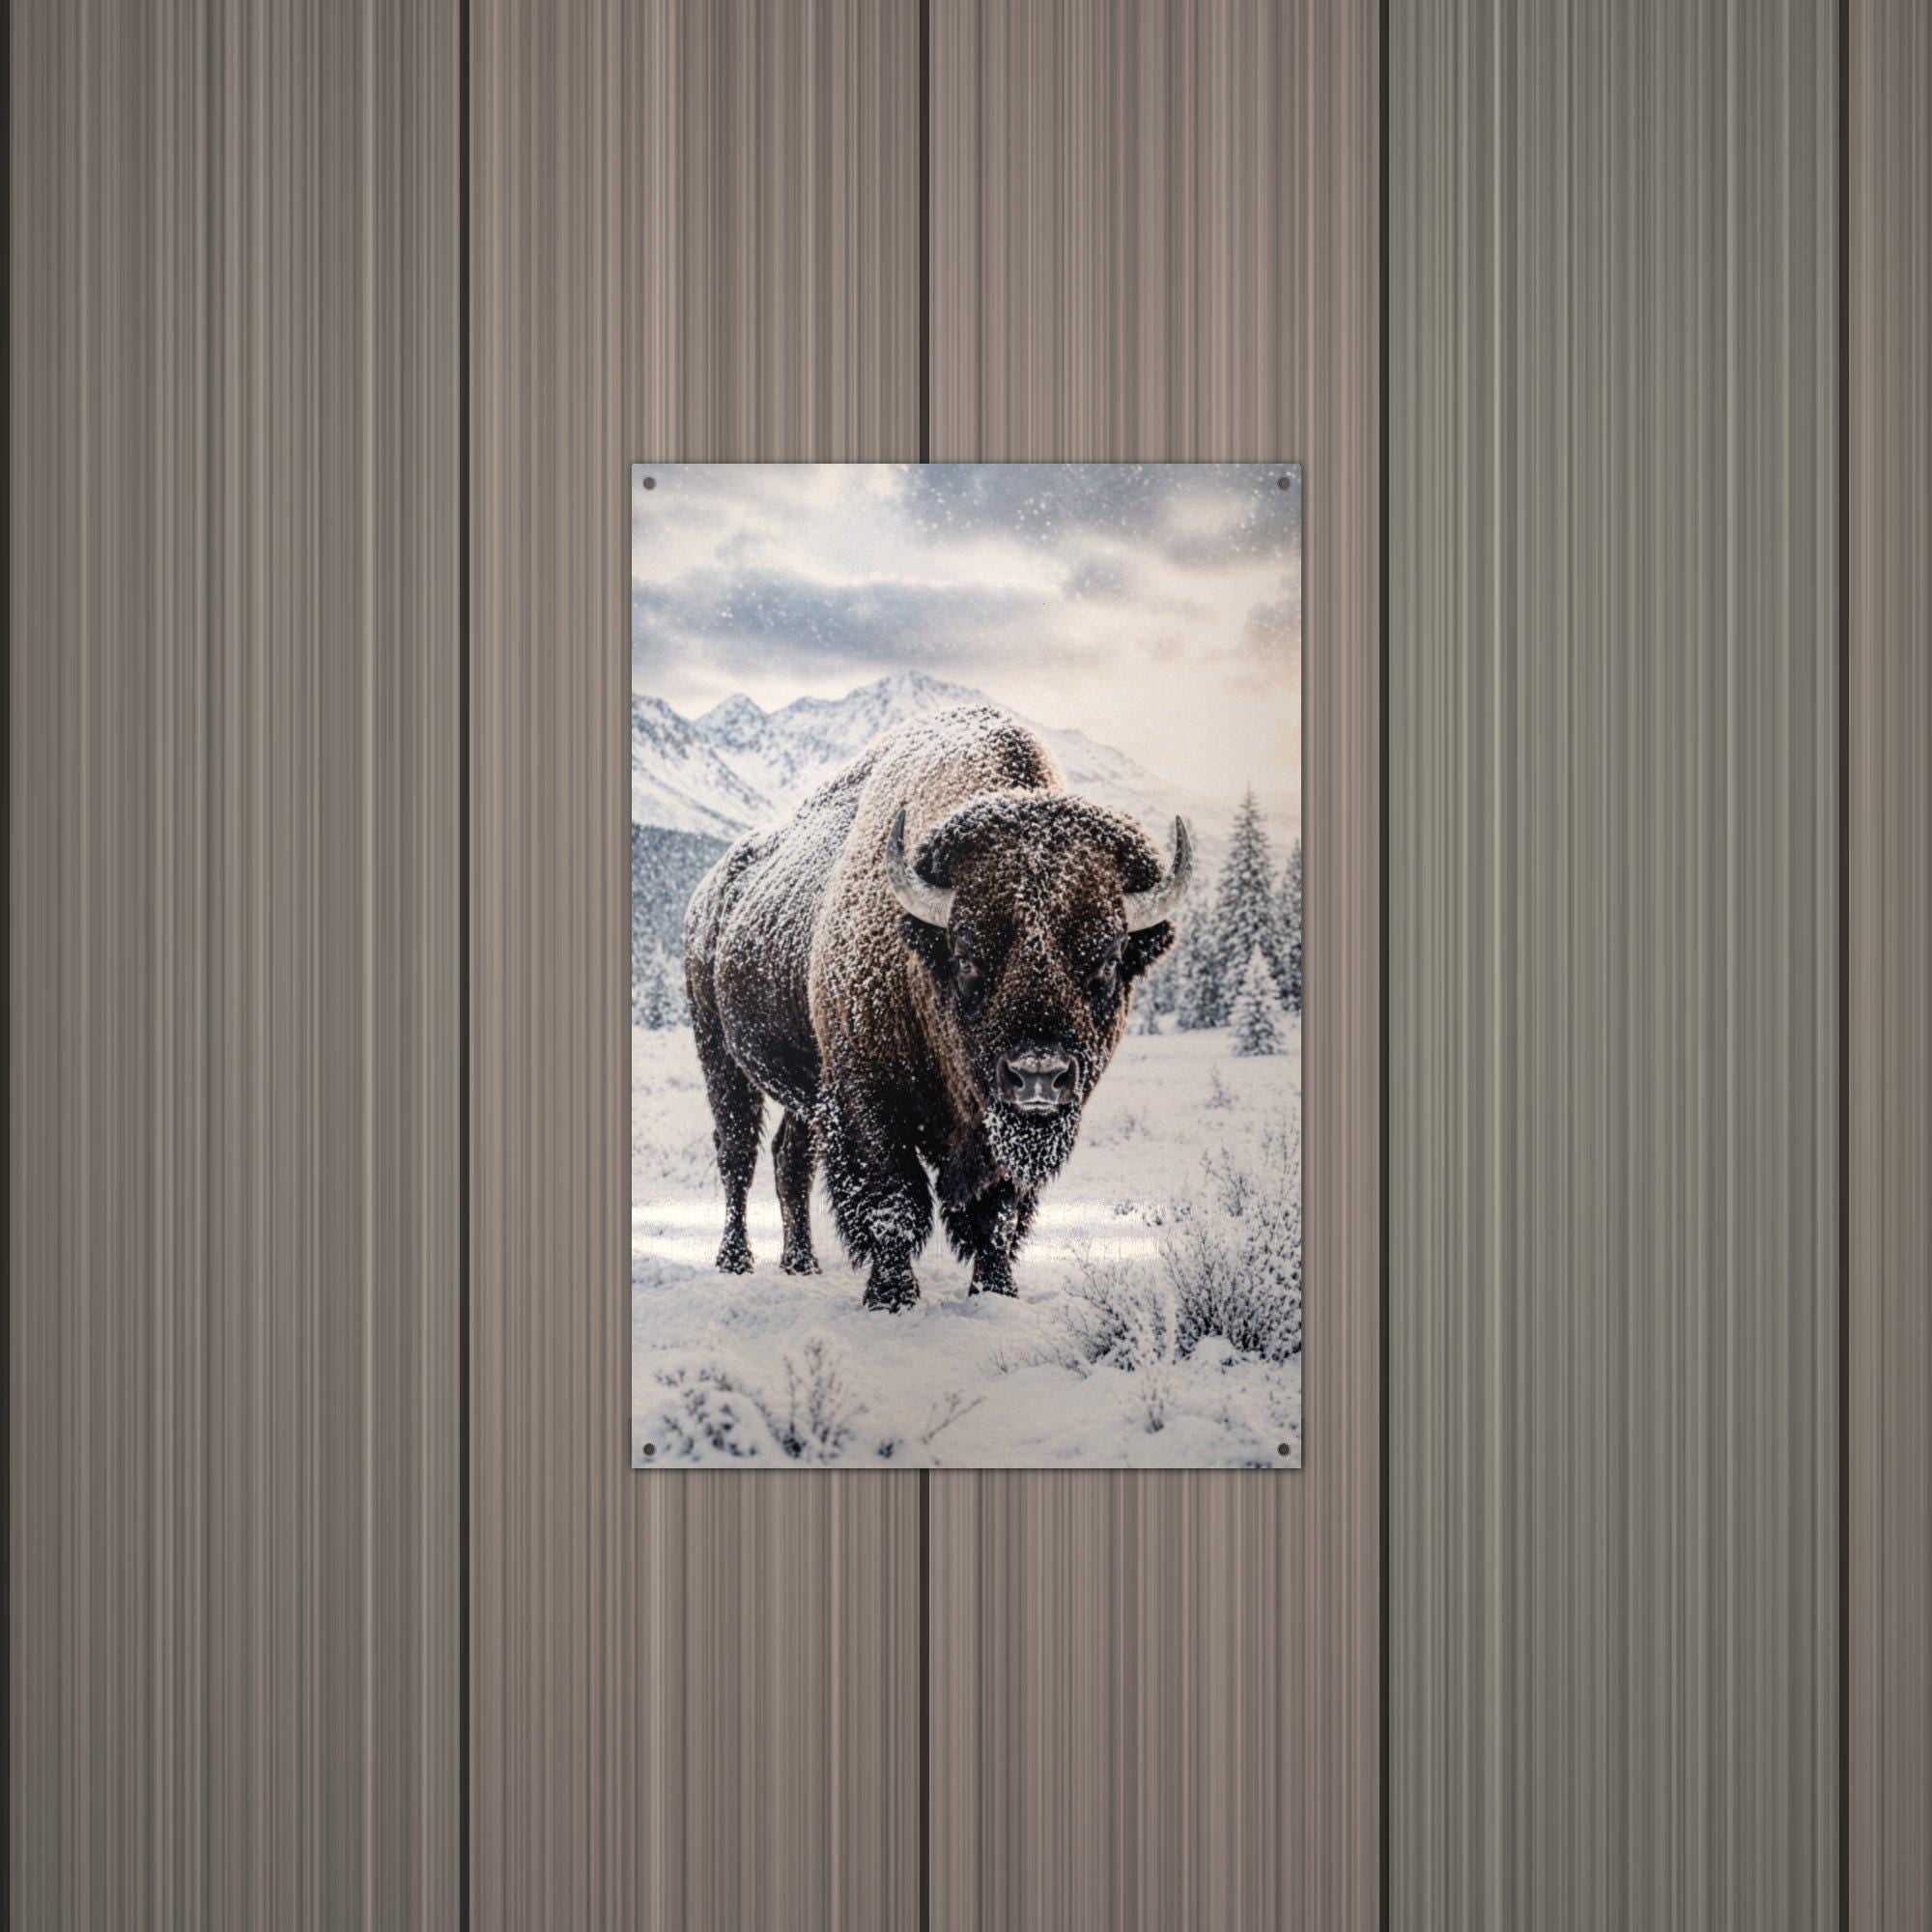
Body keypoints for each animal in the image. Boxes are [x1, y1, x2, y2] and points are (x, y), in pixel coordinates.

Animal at [683, 704, 1191, 1310]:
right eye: (967, 955)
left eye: (1109, 960)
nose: (1038, 1076)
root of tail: (711, 894)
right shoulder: (868, 1102)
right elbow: (893, 1205)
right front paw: (891, 1297)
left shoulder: (995, 1131)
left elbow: (997, 1216)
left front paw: (996, 1292)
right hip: (719, 1054)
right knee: (737, 1155)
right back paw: (734, 1261)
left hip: (804, 1089)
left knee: (790, 1159)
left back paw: (801, 1264)